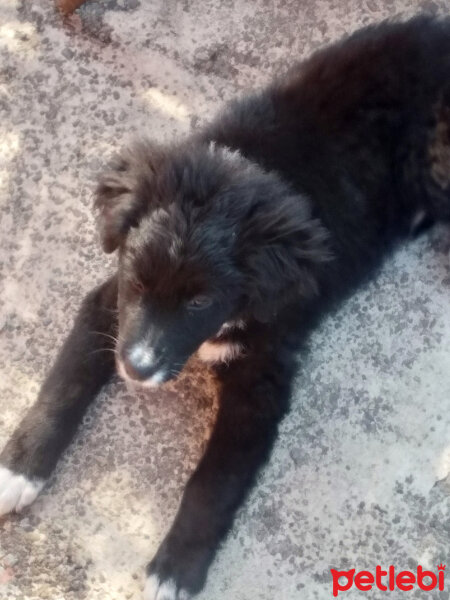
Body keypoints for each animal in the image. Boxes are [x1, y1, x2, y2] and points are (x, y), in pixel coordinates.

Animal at [0, 14, 450, 600]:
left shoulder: (262, 380)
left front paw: (174, 570)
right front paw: (18, 470)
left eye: (201, 300)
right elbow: (65, 382)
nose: (135, 370)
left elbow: (214, 482)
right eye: (137, 280)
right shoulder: (110, 306)